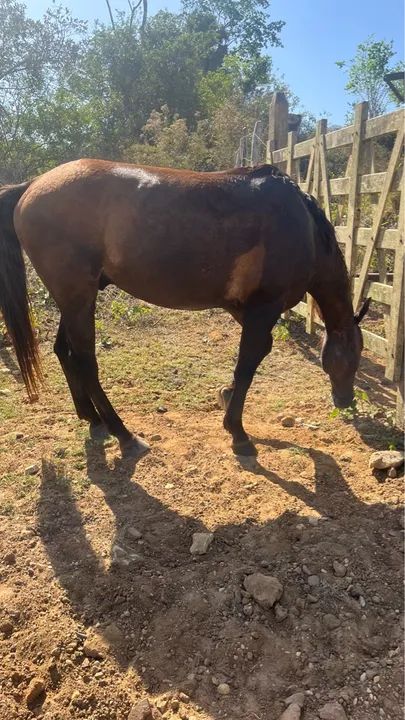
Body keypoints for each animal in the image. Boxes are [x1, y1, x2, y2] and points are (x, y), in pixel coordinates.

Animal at [0, 160, 370, 459]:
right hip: (78, 299)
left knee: (63, 351)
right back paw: (124, 434)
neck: (302, 225)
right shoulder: (263, 310)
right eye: (354, 357)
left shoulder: (245, 310)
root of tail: (32, 185)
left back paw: (93, 419)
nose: (345, 400)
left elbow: (253, 359)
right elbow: (247, 365)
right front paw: (238, 433)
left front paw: (226, 397)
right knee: (85, 361)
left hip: (75, 300)